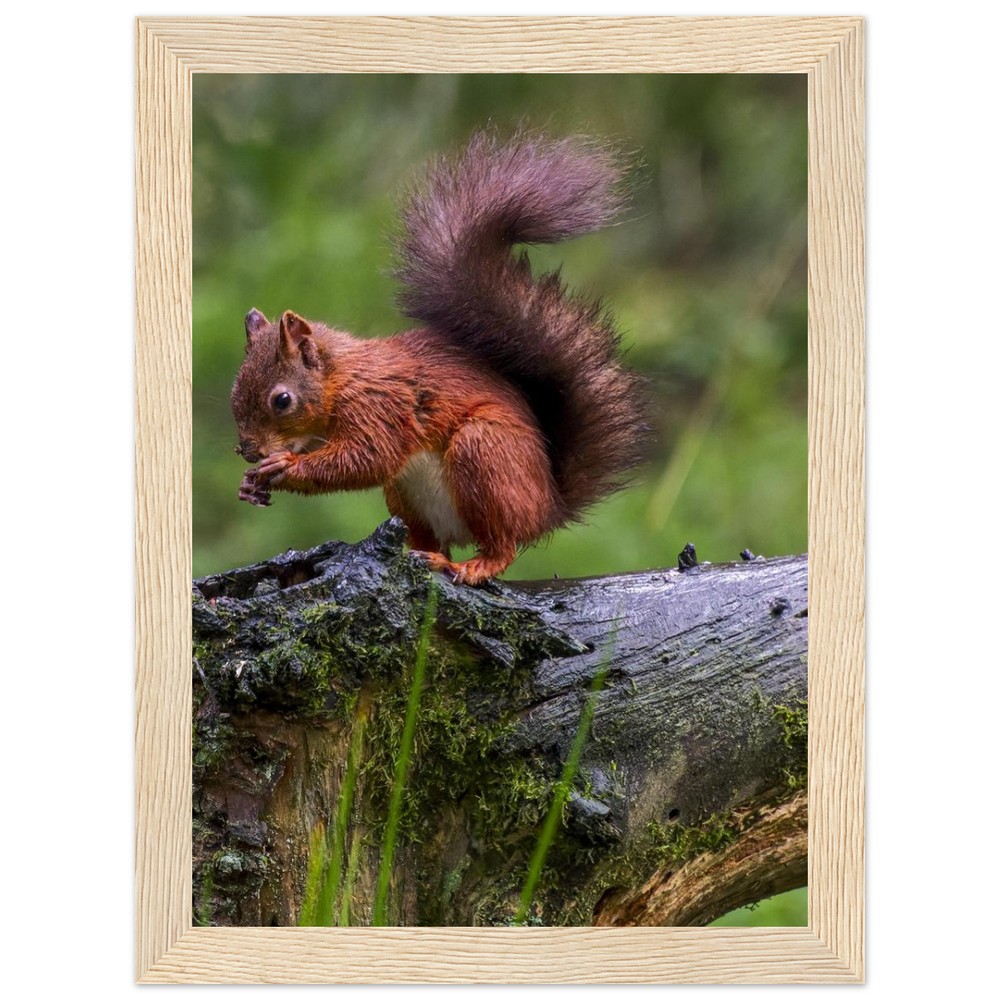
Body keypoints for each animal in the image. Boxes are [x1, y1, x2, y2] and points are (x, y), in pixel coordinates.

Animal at [231, 131, 649, 585]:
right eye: (234, 392)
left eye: (282, 400)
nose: (248, 450)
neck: (341, 378)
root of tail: (547, 508)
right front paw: (250, 484)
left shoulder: (379, 406)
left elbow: (365, 458)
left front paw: (284, 466)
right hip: (405, 495)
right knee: (430, 537)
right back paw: (424, 554)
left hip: (486, 455)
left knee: (503, 544)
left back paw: (473, 564)